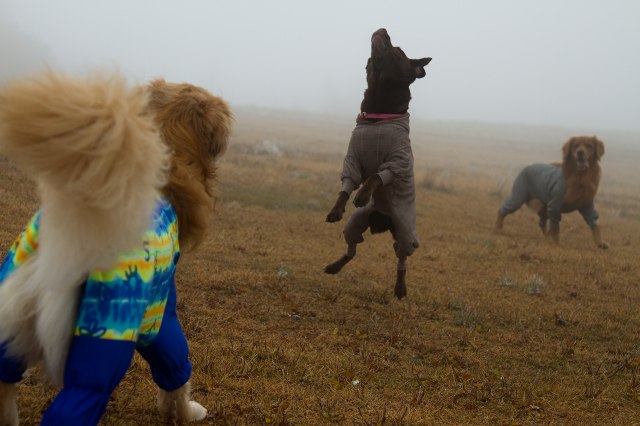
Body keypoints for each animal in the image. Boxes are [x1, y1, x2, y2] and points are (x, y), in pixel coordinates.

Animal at [324, 28, 430, 298]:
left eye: (398, 51)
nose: (383, 29)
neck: (378, 115)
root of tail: (383, 220)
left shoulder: (396, 163)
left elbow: (375, 176)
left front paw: (362, 195)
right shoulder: (352, 158)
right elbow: (347, 185)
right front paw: (336, 209)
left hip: (405, 234)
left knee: (402, 259)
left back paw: (400, 288)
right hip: (355, 224)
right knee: (352, 249)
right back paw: (334, 266)